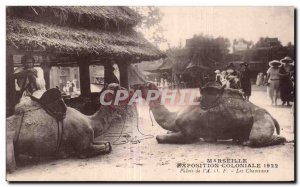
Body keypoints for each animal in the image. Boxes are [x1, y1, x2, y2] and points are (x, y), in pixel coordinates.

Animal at [130, 82, 288, 147]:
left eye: (142, 85)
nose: (132, 86)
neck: (174, 118)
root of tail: (271, 116)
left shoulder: (188, 133)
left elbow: (159, 137)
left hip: (261, 120)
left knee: (256, 139)